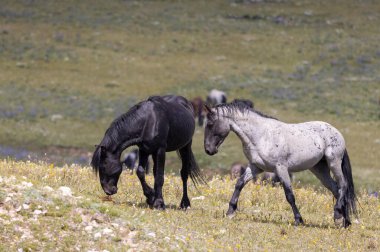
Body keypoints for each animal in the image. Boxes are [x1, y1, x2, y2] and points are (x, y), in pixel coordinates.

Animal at [205, 101, 356, 227]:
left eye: (210, 124)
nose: (208, 150)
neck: (262, 136)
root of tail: (336, 132)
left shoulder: (281, 169)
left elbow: (289, 195)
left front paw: (299, 220)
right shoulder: (255, 167)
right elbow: (239, 184)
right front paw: (230, 212)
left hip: (333, 163)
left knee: (343, 185)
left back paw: (338, 216)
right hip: (319, 170)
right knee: (336, 189)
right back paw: (344, 221)